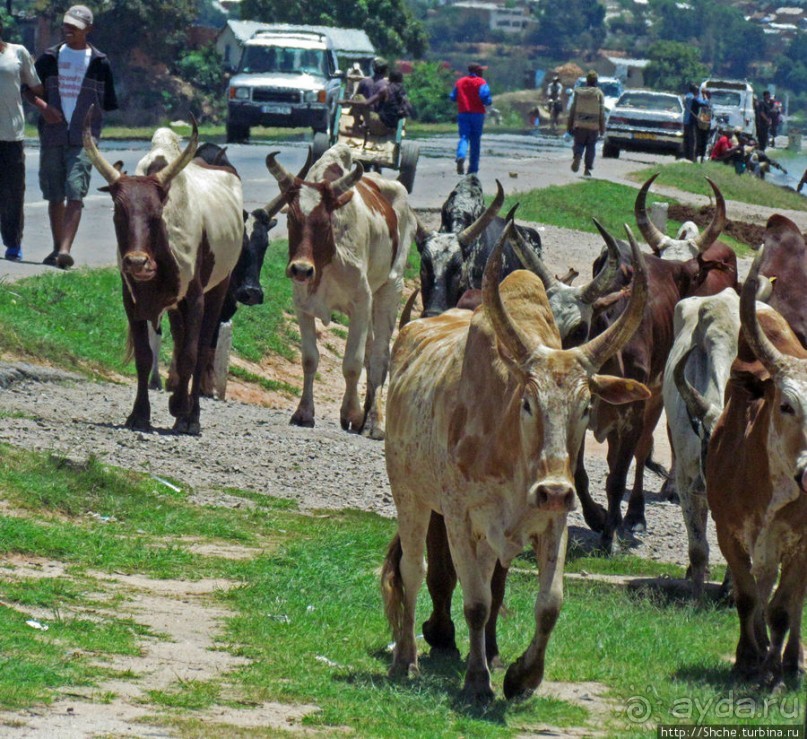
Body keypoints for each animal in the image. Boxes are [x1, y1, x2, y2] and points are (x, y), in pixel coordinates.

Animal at [382, 223, 652, 704]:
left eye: (586, 406)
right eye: (527, 402)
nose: (554, 489)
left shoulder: (553, 521)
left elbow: (548, 604)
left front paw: (521, 677)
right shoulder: (458, 516)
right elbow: (475, 602)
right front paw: (476, 681)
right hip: (409, 493)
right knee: (414, 570)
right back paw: (406, 659)